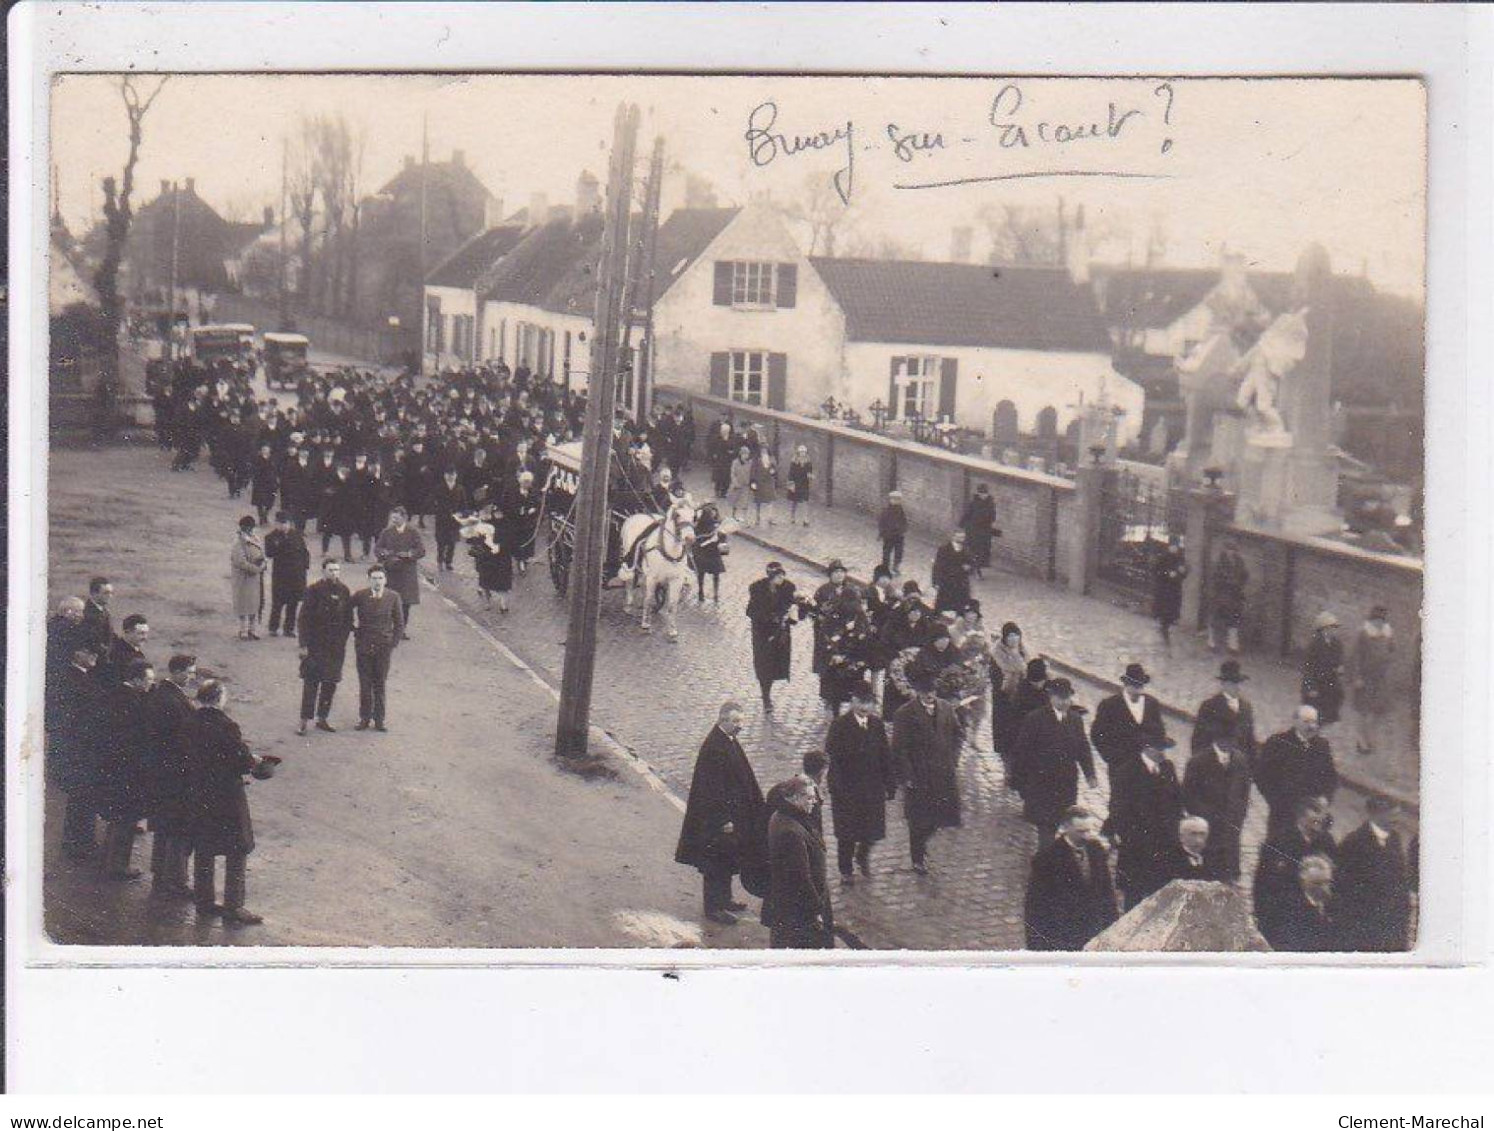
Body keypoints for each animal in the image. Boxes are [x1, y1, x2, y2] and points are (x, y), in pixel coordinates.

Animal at [615, 499, 696, 639]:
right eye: (677, 515)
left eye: (694, 515)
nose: (690, 538)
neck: (669, 551)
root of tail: (635, 516)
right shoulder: (653, 578)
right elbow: (648, 599)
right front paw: (645, 625)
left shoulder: (676, 580)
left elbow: (672, 604)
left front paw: (672, 630)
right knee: (630, 582)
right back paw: (629, 605)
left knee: (642, 585)